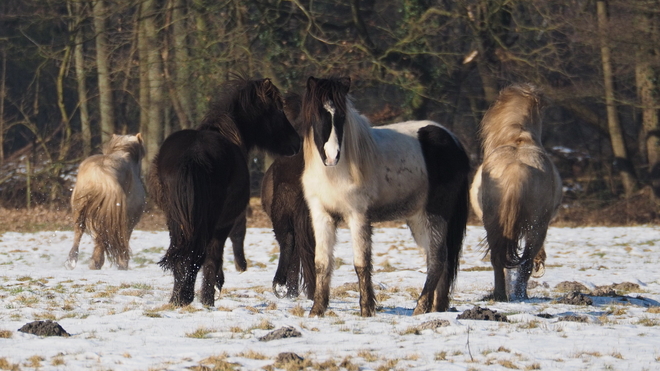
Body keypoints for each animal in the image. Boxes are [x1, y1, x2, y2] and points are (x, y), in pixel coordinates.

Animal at [65, 134, 147, 270]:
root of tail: (99, 173)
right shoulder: (129, 220)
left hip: (82, 209)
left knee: (79, 232)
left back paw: (75, 261)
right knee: (105, 238)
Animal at [148, 77, 300, 308]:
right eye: (276, 110)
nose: (296, 142)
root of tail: (193, 154)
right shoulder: (225, 224)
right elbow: (214, 258)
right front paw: (210, 296)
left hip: (175, 220)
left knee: (182, 255)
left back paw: (178, 299)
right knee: (198, 255)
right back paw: (191, 298)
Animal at [296, 77, 472, 318]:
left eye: (341, 117)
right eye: (316, 115)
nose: (332, 156)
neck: (334, 172)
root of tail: (454, 141)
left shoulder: (358, 216)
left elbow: (361, 263)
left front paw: (366, 309)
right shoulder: (321, 215)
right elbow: (322, 263)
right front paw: (317, 310)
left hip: (437, 213)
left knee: (437, 259)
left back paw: (421, 307)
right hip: (418, 218)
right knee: (439, 260)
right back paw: (437, 308)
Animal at [470, 83, 564, 302]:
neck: (519, 137)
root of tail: (517, 168)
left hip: (497, 224)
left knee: (502, 259)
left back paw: (503, 295)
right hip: (536, 227)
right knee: (521, 260)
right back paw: (517, 295)